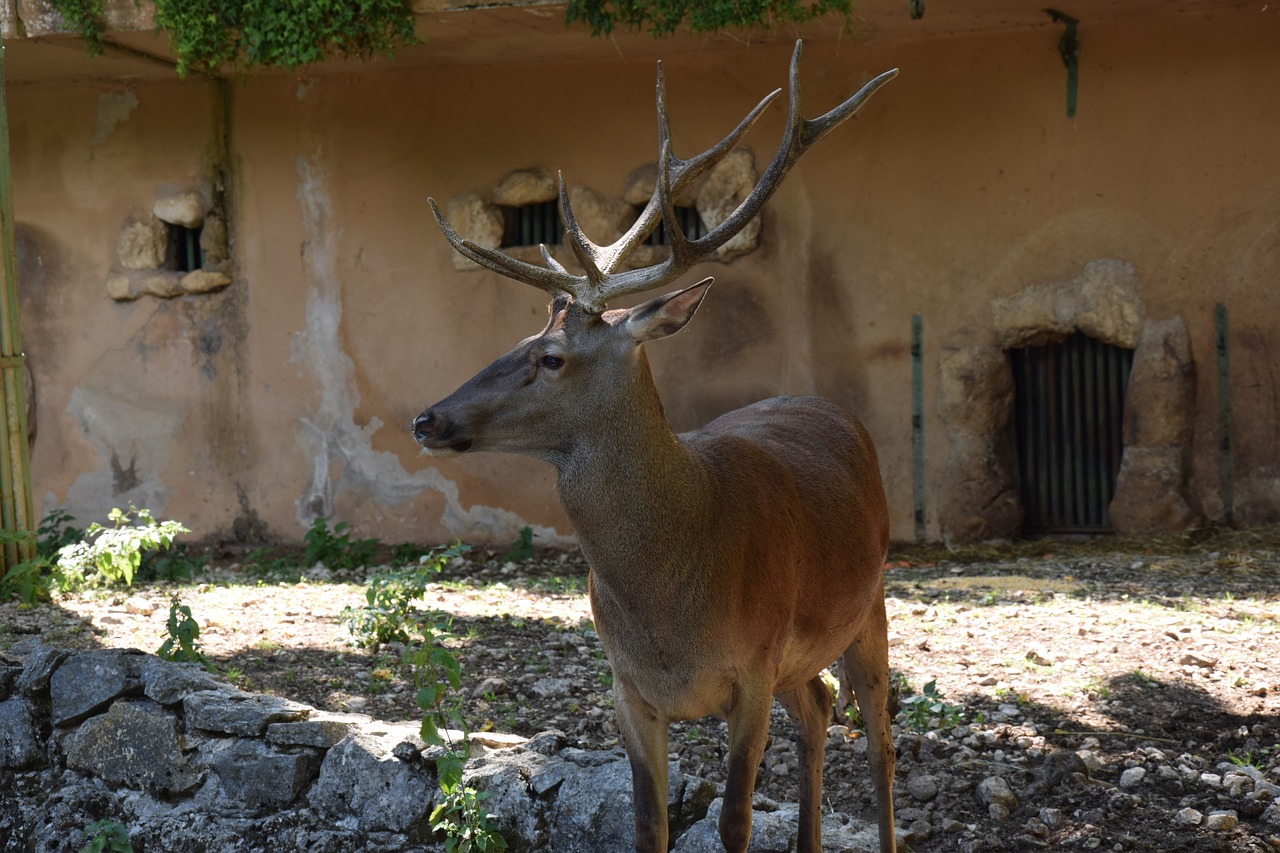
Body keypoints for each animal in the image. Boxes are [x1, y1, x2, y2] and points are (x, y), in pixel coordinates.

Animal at [414, 41, 896, 850]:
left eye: (551, 357)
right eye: (520, 338)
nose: (427, 420)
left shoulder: (752, 667)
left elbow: (733, 821)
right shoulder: (627, 687)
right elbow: (648, 823)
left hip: (871, 600)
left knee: (881, 737)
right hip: (803, 653)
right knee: (821, 709)